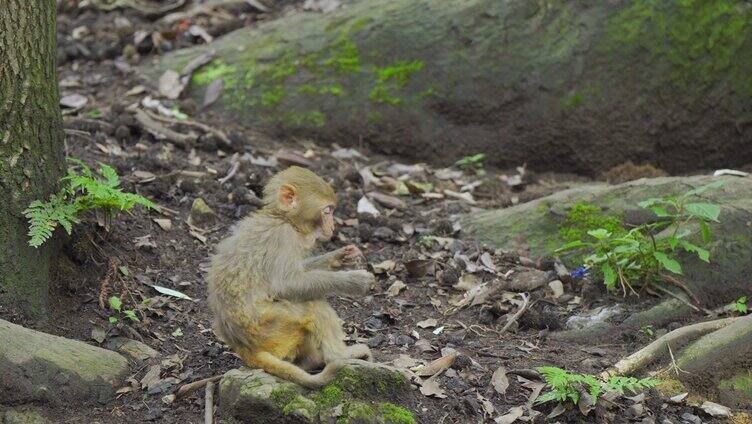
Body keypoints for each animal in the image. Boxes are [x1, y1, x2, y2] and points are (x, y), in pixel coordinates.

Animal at [207, 165, 376, 388]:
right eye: (327, 211)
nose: (332, 227)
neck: (281, 218)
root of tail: (246, 350)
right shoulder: (283, 236)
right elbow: (286, 285)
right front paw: (354, 281)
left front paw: (339, 257)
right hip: (274, 329)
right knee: (312, 304)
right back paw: (340, 357)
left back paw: (312, 360)